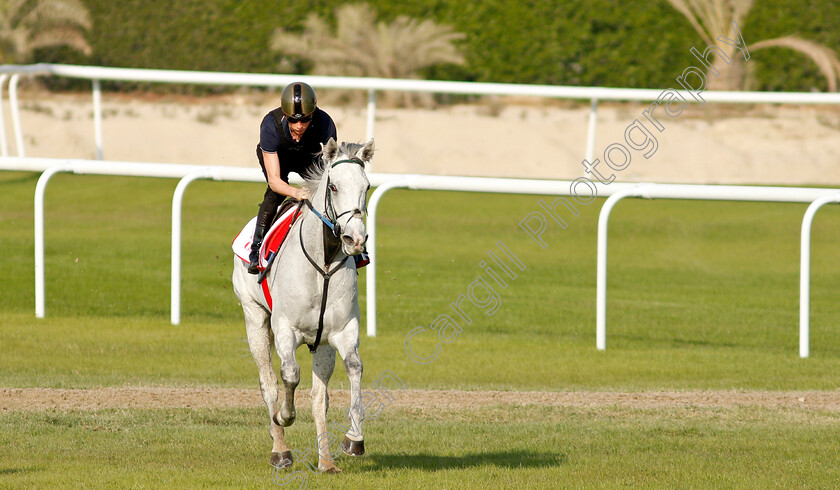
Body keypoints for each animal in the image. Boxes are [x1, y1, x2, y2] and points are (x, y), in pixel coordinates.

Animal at [231, 137, 372, 470]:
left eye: (367, 186)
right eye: (333, 186)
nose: (355, 239)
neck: (323, 265)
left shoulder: (341, 332)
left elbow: (353, 368)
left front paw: (354, 438)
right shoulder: (285, 329)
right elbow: (290, 375)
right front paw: (285, 415)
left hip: (321, 344)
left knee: (320, 398)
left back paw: (326, 462)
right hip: (254, 318)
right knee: (268, 384)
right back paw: (280, 449)